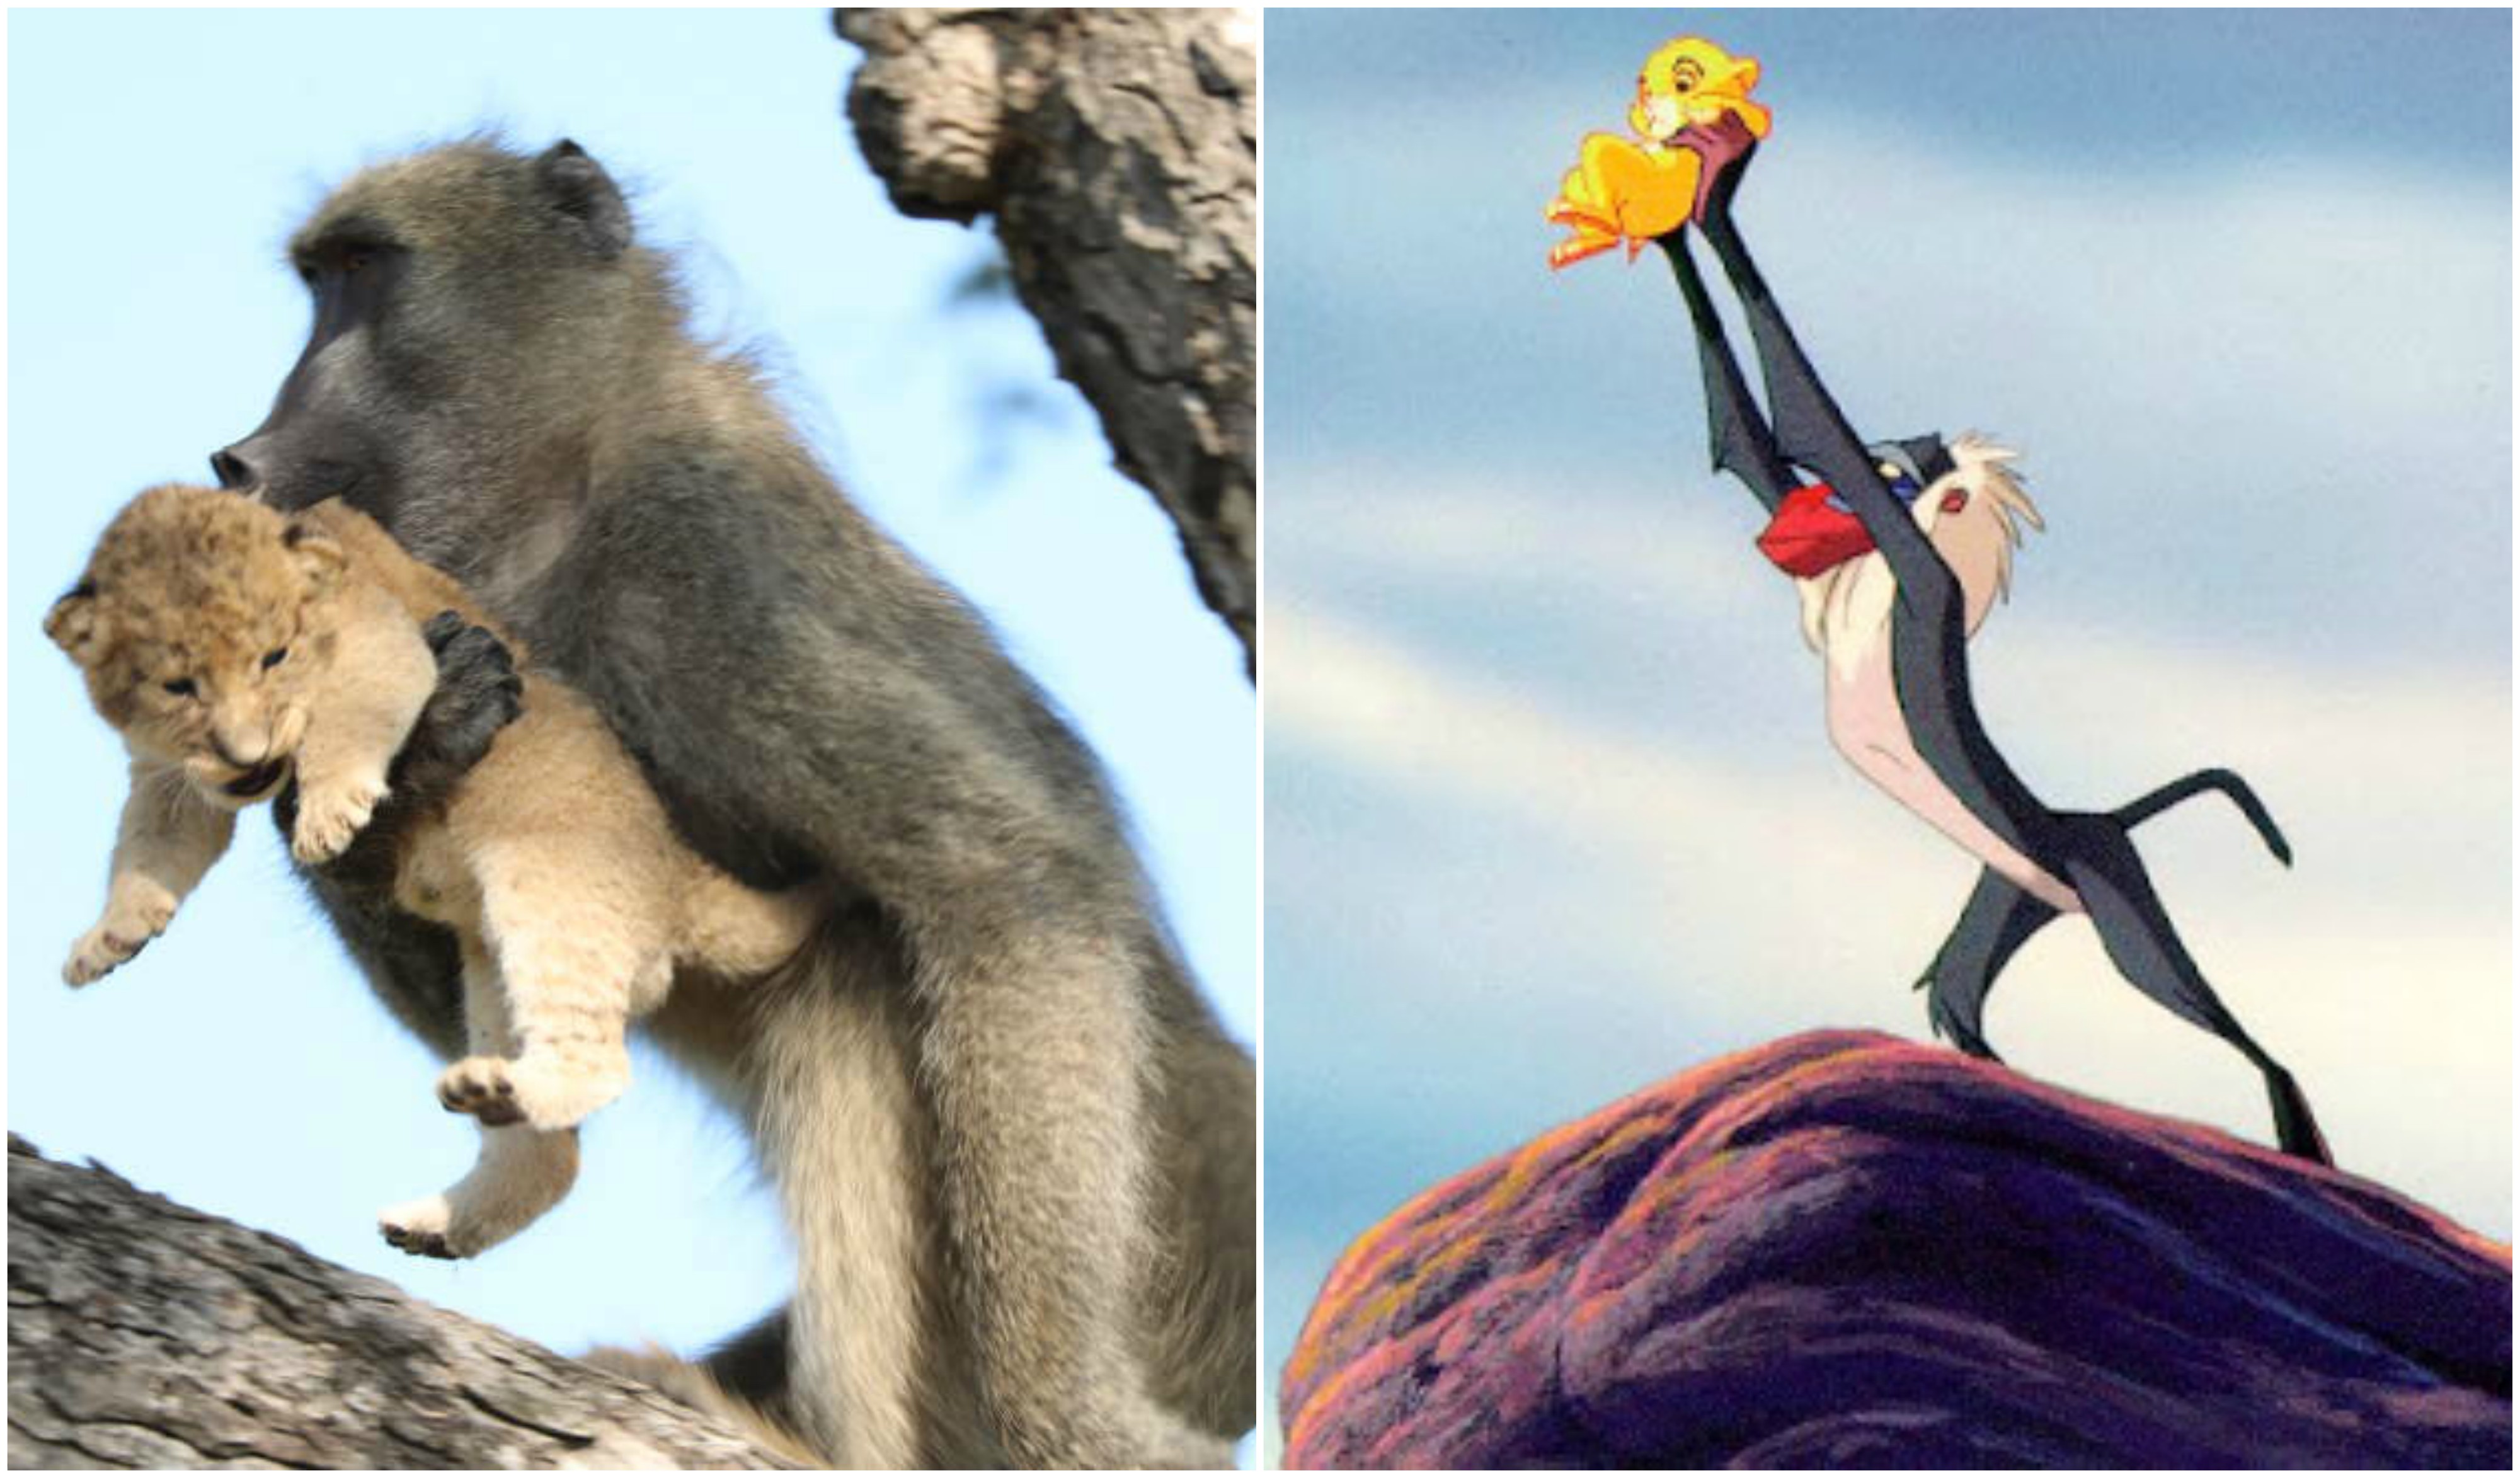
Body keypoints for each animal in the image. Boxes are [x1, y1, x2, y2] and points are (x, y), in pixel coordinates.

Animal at [45, 483, 820, 1257]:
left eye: (275, 658)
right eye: (178, 686)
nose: (247, 754)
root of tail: (676, 870)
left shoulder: (384, 642)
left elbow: (351, 717)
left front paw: (331, 813)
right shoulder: (167, 772)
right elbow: (153, 840)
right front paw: (109, 937)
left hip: (549, 891)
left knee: (600, 1062)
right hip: (491, 979)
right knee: (552, 1155)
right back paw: (446, 1206)